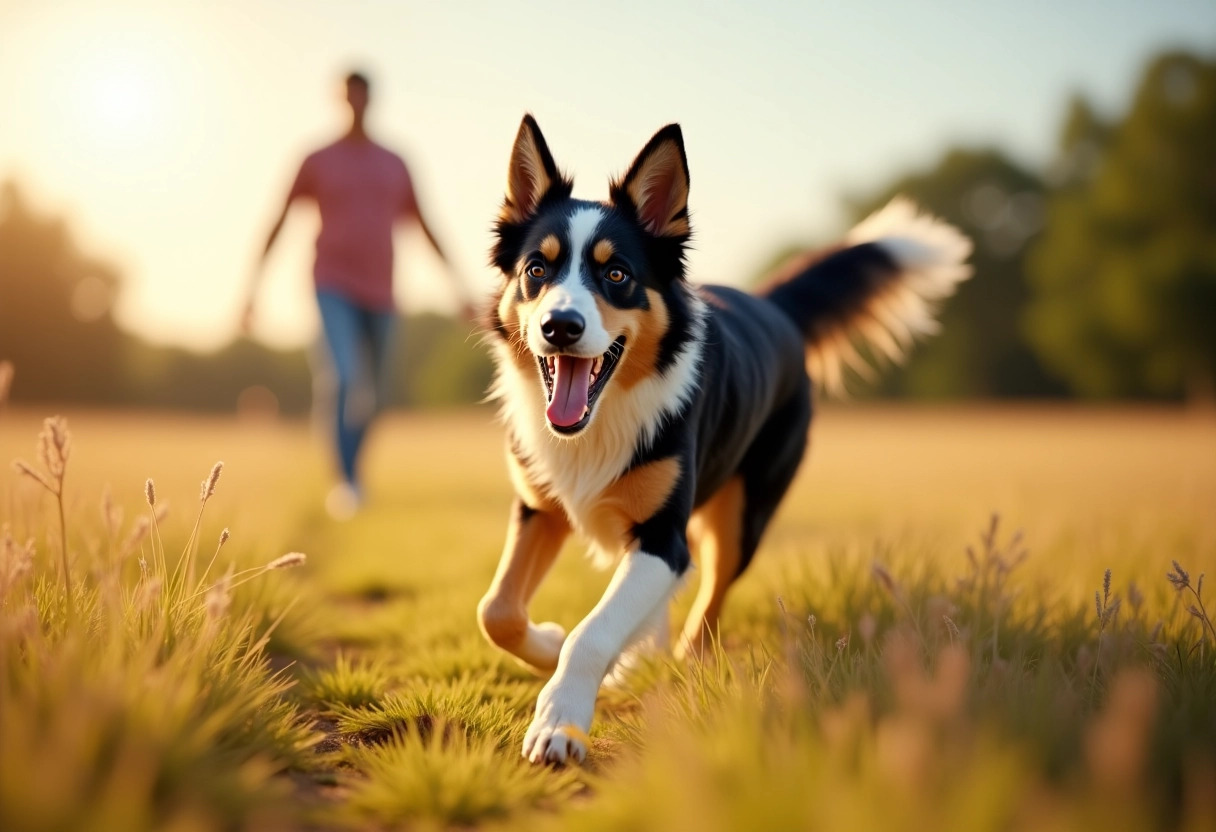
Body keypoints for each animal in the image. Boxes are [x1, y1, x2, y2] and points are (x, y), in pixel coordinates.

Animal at [471, 113, 967, 763]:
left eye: (616, 274)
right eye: (537, 269)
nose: (560, 326)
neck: (603, 418)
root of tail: (773, 306)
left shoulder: (663, 537)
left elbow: (593, 631)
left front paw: (560, 720)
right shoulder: (539, 505)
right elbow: (497, 611)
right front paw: (551, 646)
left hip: (743, 515)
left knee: (708, 603)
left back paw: (680, 662)